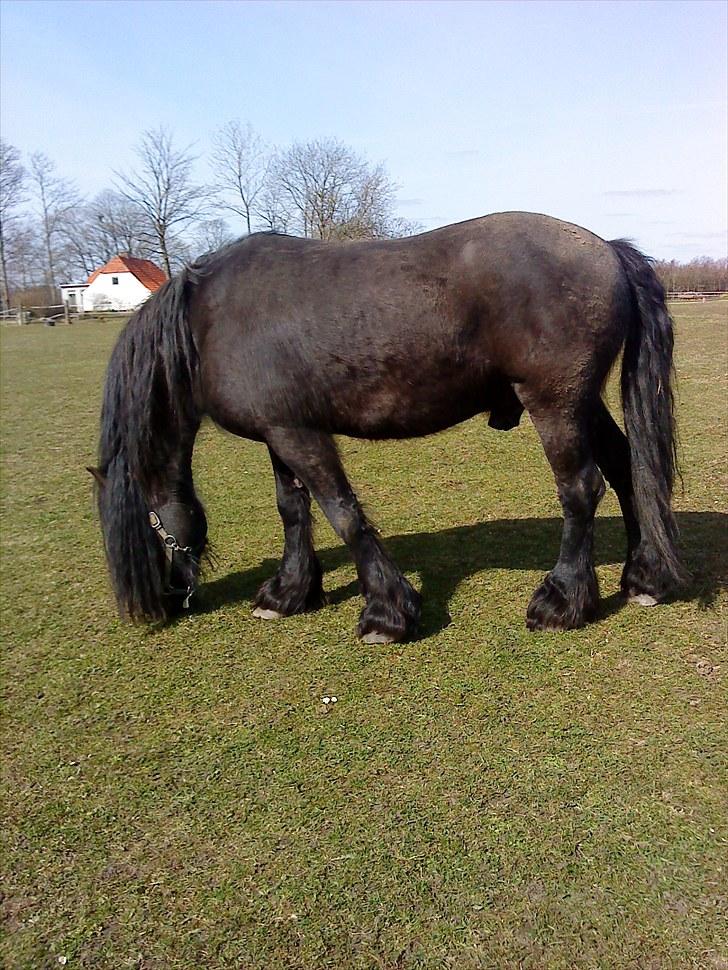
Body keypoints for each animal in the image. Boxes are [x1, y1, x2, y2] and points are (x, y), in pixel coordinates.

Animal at [91, 208, 688, 640]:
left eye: (148, 521)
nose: (164, 600)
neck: (209, 320)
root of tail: (608, 249)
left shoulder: (299, 435)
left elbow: (342, 513)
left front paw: (386, 612)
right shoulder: (279, 432)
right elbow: (293, 509)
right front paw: (289, 592)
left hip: (556, 405)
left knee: (581, 489)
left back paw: (562, 601)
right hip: (583, 403)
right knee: (626, 469)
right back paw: (644, 576)